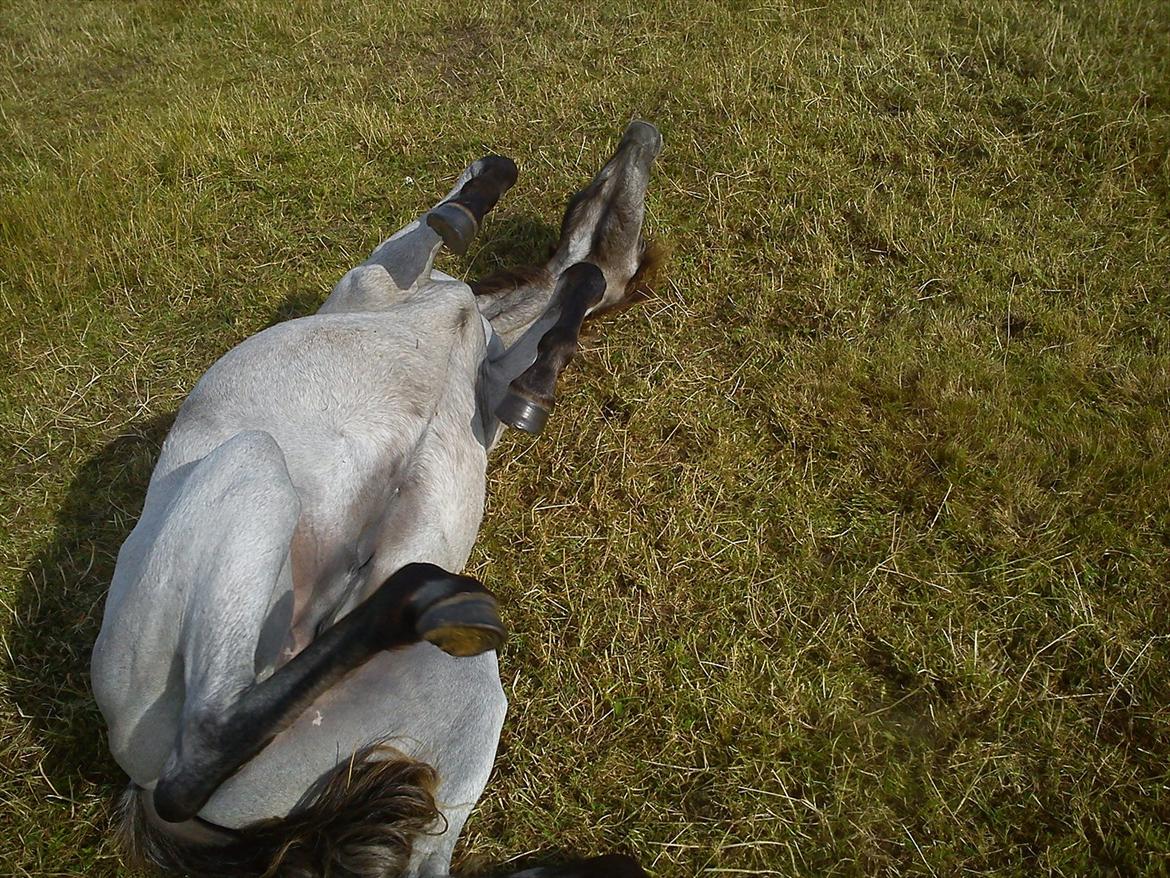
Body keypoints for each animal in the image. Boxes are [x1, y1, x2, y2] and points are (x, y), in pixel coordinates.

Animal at [90, 120, 662, 877]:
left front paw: (540, 379)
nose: (643, 136)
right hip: (253, 466)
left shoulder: (470, 360)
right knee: (200, 753)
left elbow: (576, 285)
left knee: (211, 755)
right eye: (599, 195)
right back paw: (411, 601)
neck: (466, 316)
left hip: (442, 688)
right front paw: (477, 198)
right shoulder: (382, 276)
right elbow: (483, 227)